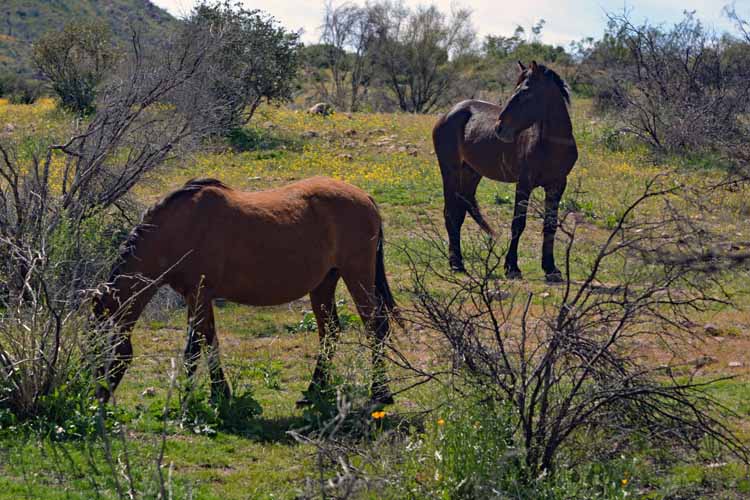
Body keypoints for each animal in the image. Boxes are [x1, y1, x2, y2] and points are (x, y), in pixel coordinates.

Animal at [94, 177, 400, 406]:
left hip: (357, 275)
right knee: (331, 331)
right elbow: (210, 342)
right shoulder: (198, 297)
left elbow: (193, 348)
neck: (179, 229)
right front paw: (219, 394)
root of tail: (366, 198)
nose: (95, 396)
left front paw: (186, 398)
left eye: (98, 348)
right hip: (325, 283)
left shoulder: (199, 294)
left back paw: (380, 393)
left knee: (375, 326)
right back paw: (313, 390)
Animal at [432, 60, 580, 282]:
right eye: (515, 90)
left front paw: (551, 268)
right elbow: (518, 223)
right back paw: (456, 264)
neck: (553, 145)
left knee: (459, 213)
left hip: (471, 173)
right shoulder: (524, 183)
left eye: (526, 92)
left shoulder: (557, 185)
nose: (499, 128)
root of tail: (449, 113)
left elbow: (550, 225)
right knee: (450, 214)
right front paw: (512, 267)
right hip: (450, 171)